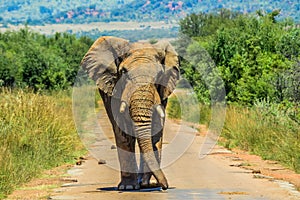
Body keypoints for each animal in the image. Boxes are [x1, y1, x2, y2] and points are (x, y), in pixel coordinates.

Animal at [79, 36, 179, 191]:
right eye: (123, 72)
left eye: (159, 75)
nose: (165, 187)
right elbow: (122, 128)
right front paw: (128, 187)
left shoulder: (162, 90)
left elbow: (155, 126)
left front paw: (145, 184)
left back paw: (144, 183)